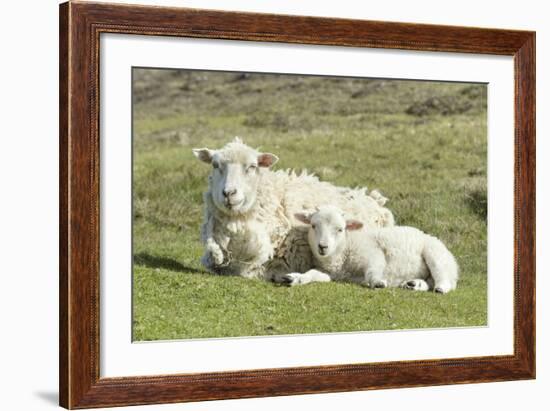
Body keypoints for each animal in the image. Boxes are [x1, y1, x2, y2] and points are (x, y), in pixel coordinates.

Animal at [288, 206, 462, 292]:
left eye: (340, 229)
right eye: (313, 226)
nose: (323, 247)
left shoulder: (373, 252)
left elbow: (373, 270)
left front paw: (377, 282)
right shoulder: (331, 273)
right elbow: (313, 273)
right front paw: (297, 278)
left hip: (435, 254)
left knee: (443, 277)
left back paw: (441, 288)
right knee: (429, 281)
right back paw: (414, 284)